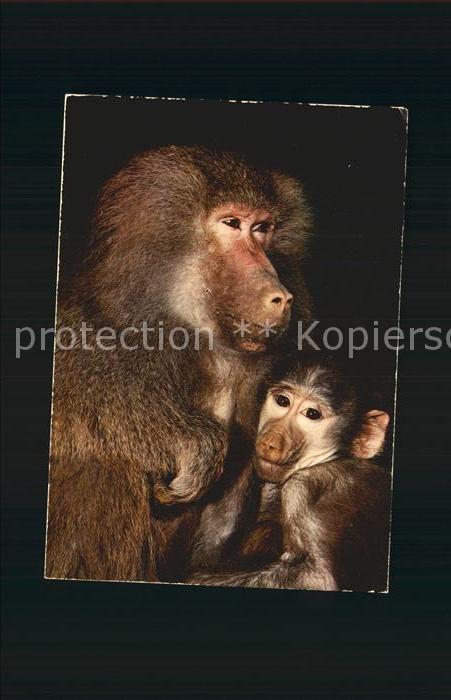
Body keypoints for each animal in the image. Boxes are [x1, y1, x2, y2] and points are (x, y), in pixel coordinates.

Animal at [188, 357, 392, 592]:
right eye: (282, 401)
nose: (270, 441)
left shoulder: (306, 488)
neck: (333, 458)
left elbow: (316, 577)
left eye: (312, 414)